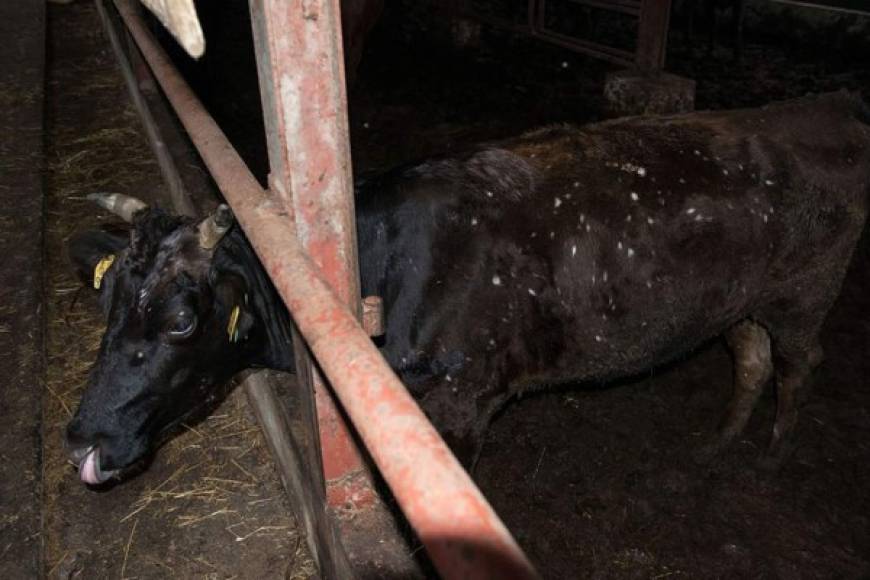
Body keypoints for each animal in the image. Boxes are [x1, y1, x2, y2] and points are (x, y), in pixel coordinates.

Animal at [64, 93, 868, 484]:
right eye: (106, 301)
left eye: (181, 320)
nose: (83, 439)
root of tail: (821, 110)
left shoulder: (459, 403)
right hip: (739, 301)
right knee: (751, 357)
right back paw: (719, 444)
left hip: (806, 293)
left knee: (801, 364)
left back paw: (770, 456)